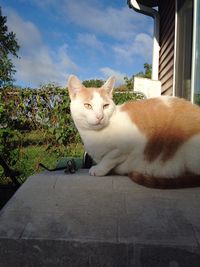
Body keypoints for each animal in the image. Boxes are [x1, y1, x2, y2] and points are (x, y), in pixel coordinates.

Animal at [67, 74, 200, 189]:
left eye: (105, 106)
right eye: (87, 105)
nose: (100, 116)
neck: (95, 136)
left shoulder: (129, 146)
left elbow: (109, 158)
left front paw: (99, 169)